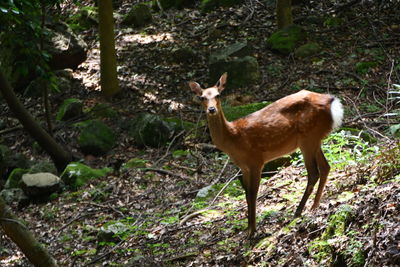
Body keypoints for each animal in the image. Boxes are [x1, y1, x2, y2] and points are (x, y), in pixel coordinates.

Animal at [188, 73, 344, 239]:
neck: (233, 138)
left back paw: (298, 211)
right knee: (325, 167)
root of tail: (333, 103)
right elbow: (247, 194)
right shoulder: (244, 167)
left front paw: (252, 231)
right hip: (314, 139)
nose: (211, 109)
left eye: (218, 95)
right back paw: (314, 206)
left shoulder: (256, 161)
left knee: (314, 172)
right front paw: (248, 229)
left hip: (308, 138)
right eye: (202, 97)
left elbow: (253, 194)